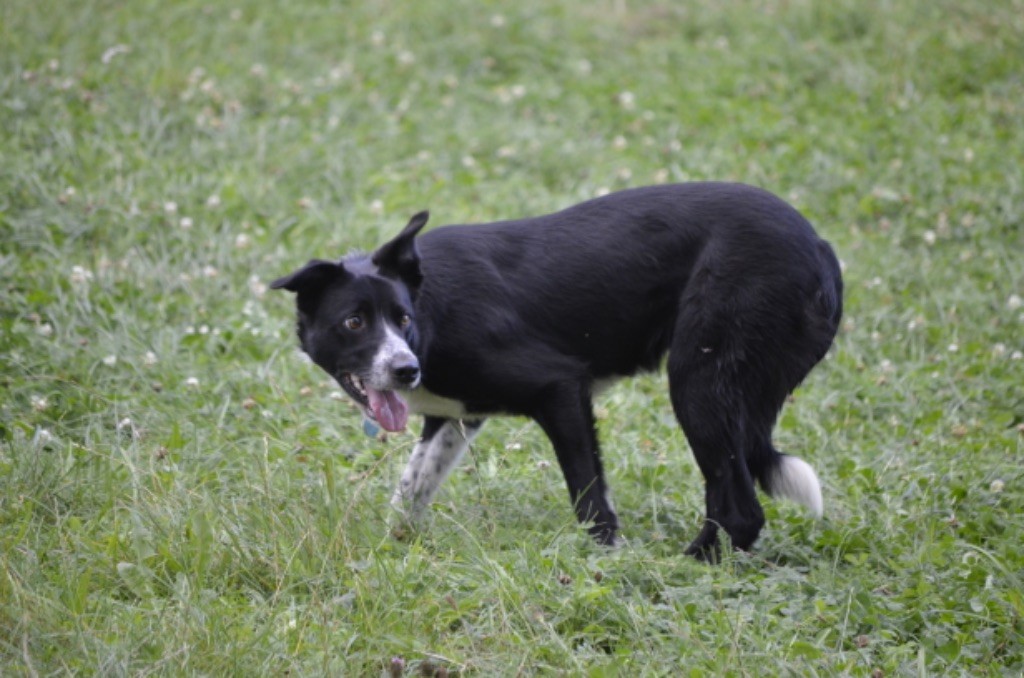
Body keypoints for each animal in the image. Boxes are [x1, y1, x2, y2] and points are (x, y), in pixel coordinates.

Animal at [270, 183, 839, 561]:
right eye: (354, 321)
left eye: (402, 319)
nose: (406, 371)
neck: (432, 310)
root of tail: (820, 248)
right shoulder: (454, 417)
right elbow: (411, 488)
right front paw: (395, 550)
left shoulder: (560, 389)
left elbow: (591, 501)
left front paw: (607, 565)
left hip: (698, 383)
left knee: (740, 509)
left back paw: (687, 566)